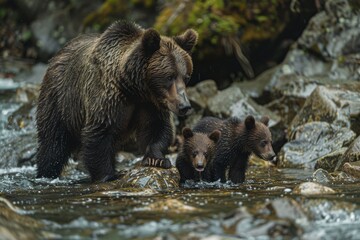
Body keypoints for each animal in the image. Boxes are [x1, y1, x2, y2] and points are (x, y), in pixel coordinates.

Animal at [36, 20, 198, 182]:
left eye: (186, 77)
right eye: (169, 76)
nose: (185, 106)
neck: (134, 88)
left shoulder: (150, 104)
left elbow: (156, 128)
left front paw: (157, 159)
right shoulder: (108, 98)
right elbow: (99, 134)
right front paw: (107, 175)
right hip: (60, 99)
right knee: (53, 144)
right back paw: (46, 173)